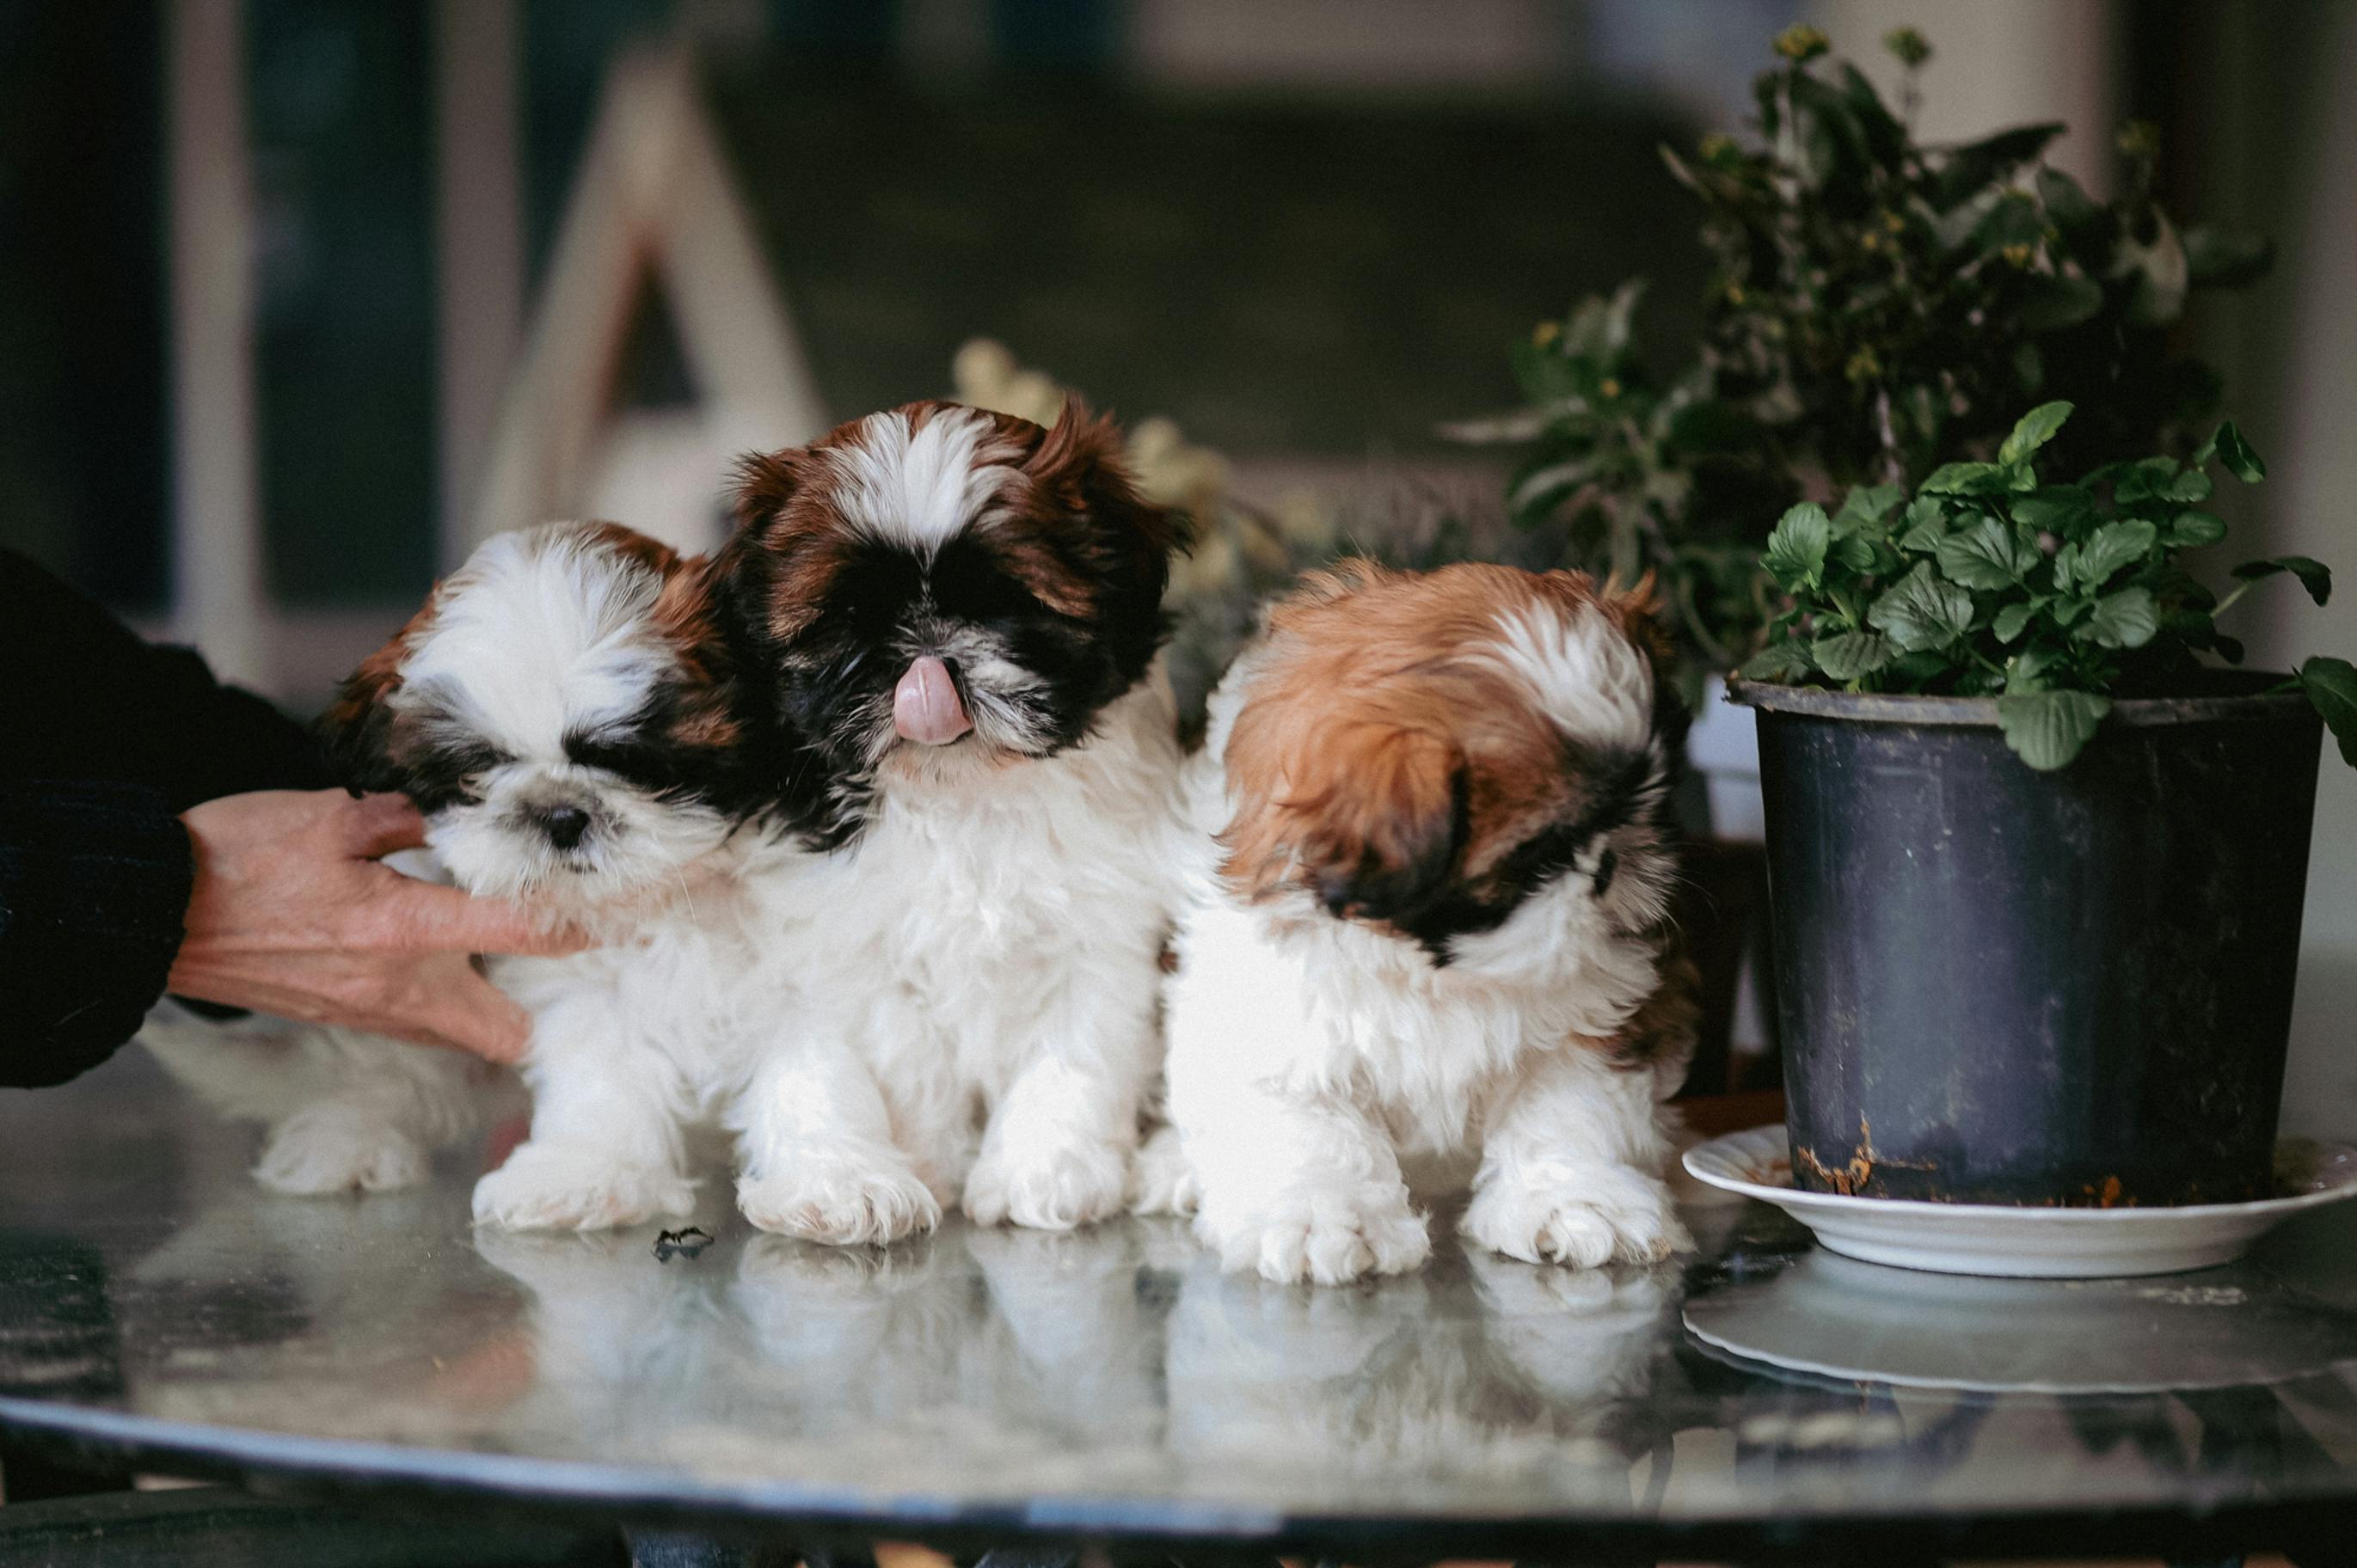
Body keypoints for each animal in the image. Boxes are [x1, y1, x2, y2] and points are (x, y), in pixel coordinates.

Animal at [707, 398, 1188, 1245]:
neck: (964, 797)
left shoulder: (1100, 936)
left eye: (1006, 604)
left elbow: (1075, 1048)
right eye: (851, 615)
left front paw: (1044, 1172)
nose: (927, 659)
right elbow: (910, 1060)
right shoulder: (867, 944)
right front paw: (926, 1165)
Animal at [1140, 563, 1697, 1283]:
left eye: (1646, 802)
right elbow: (1305, 1125)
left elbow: (1567, 1107)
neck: (1440, 974)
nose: (1611, 860)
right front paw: (1322, 1216)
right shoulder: (1270, 1024)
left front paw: (1573, 1198)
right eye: (1539, 855)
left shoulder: (1602, 1013)